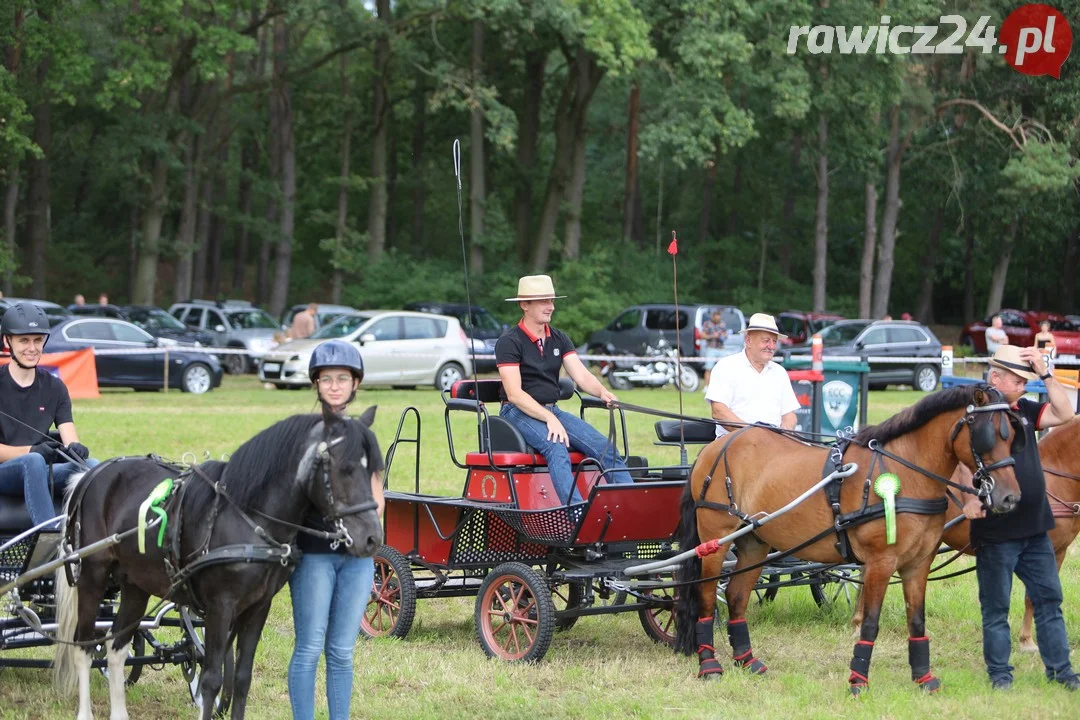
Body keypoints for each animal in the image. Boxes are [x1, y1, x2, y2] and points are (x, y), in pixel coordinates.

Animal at [54, 408, 386, 716]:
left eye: (373, 470)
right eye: (345, 469)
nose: (372, 537)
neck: (247, 518)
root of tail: (90, 475)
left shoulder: (257, 607)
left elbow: (241, 678)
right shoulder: (220, 607)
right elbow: (211, 679)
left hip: (136, 584)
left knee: (116, 648)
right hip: (93, 576)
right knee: (84, 645)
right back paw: (85, 713)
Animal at [673, 386, 1019, 695]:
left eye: (1012, 435)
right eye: (988, 435)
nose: (1010, 497)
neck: (905, 472)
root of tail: (717, 446)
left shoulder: (918, 564)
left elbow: (917, 620)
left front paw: (924, 679)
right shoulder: (881, 562)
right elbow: (871, 623)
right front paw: (858, 682)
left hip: (753, 542)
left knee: (736, 596)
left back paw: (747, 661)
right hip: (717, 540)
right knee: (707, 596)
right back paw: (709, 665)